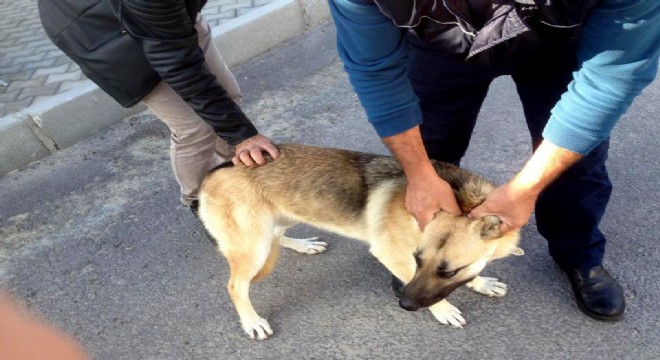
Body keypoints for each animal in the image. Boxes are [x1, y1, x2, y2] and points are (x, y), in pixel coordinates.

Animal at [199, 142, 524, 338]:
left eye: (450, 270)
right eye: (417, 259)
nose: (404, 305)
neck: (461, 198)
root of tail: (211, 174)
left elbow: (472, 271)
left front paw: (480, 283)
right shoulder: (392, 255)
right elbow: (417, 280)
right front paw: (443, 310)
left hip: (283, 219)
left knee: (279, 235)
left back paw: (304, 245)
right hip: (254, 247)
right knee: (236, 286)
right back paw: (251, 321)